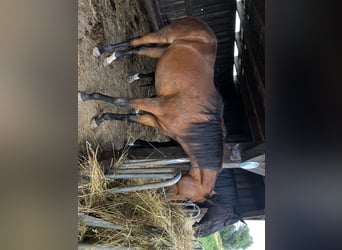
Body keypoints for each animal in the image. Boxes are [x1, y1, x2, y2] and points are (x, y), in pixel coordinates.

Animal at [79, 16, 226, 203]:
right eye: (187, 199)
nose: (161, 197)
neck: (192, 121)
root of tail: (200, 24)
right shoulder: (156, 104)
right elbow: (121, 102)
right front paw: (87, 98)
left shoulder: (155, 119)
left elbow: (128, 117)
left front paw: (101, 119)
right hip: (163, 37)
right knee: (137, 41)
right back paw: (103, 52)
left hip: (162, 50)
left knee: (139, 49)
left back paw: (112, 60)